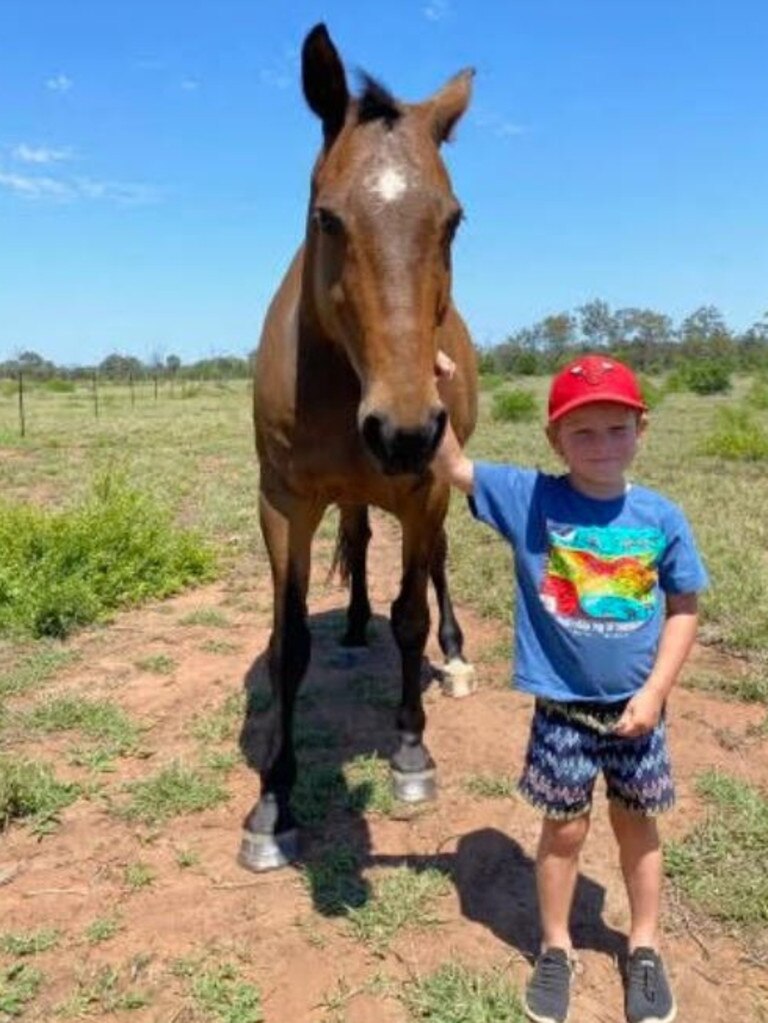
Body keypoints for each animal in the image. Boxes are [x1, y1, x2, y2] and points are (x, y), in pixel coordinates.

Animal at [243, 24, 478, 871]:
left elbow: (409, 614)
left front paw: (412, 751)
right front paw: (273, 802)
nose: (404, 429)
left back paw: (455, 654)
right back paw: (349, 621)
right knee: (359, 536)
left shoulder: (424, 489)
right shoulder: (282, 502)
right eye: (327, 218)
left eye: (452, 221)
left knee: (434, 569)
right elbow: (289, 645)